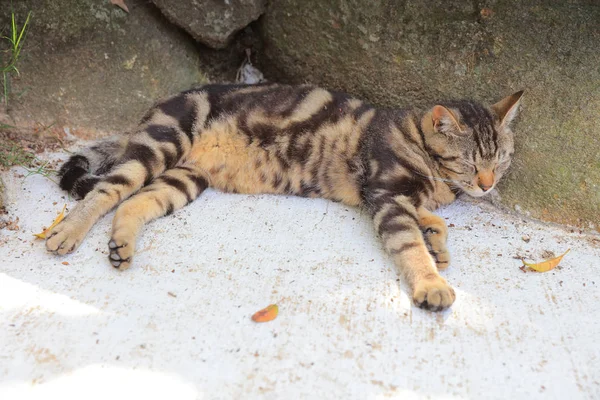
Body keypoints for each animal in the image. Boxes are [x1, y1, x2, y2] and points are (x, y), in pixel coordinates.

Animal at [47, 82, 524, 312]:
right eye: (470, 163)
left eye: (500, 159)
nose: (488, 185)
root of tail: (148, 114)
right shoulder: (387, 195)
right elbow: (410, 246)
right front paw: (432, 281)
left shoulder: (398, 197)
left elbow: (433, 219)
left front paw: (437, 241)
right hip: (161, 143)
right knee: (108, 190)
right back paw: (67, 233)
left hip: (184, 179)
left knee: (134, 202)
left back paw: (121, 246)